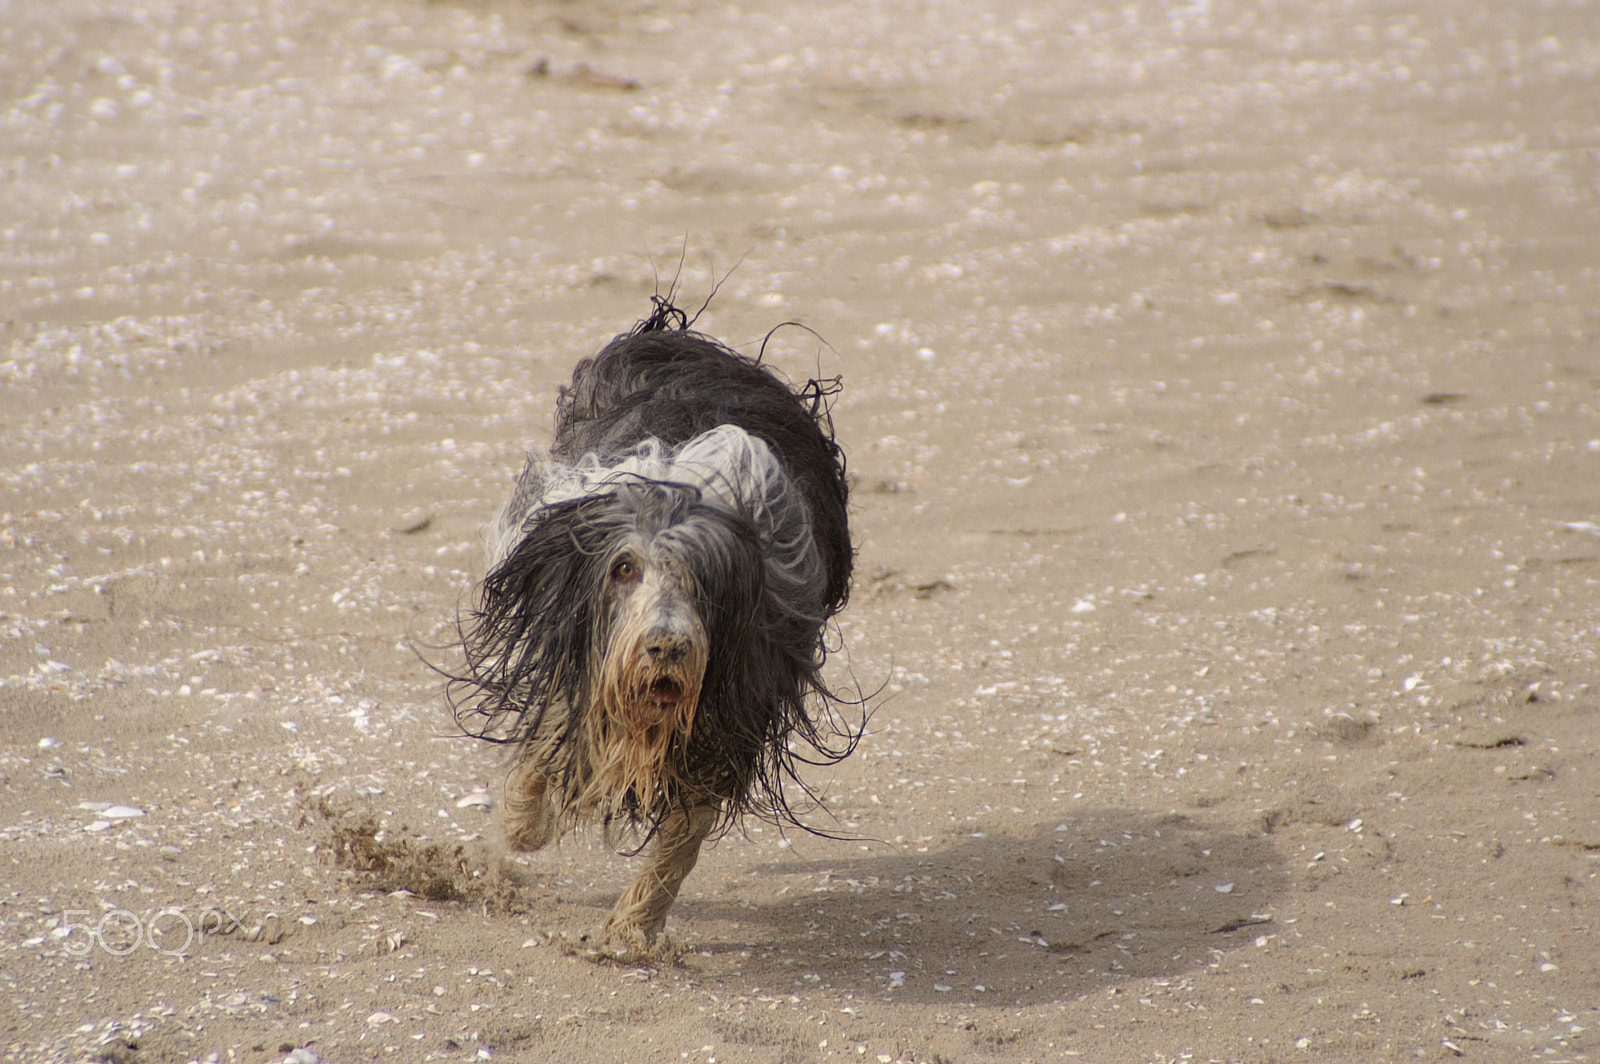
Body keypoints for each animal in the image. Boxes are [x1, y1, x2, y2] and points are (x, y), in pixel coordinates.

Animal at [451, 299, 857, 953]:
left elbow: (681, 838)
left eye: (703, 580)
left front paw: (632, 928)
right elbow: (551, 734)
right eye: (624, 568)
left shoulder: (735, 706)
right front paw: (521, 824)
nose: (667, 646)